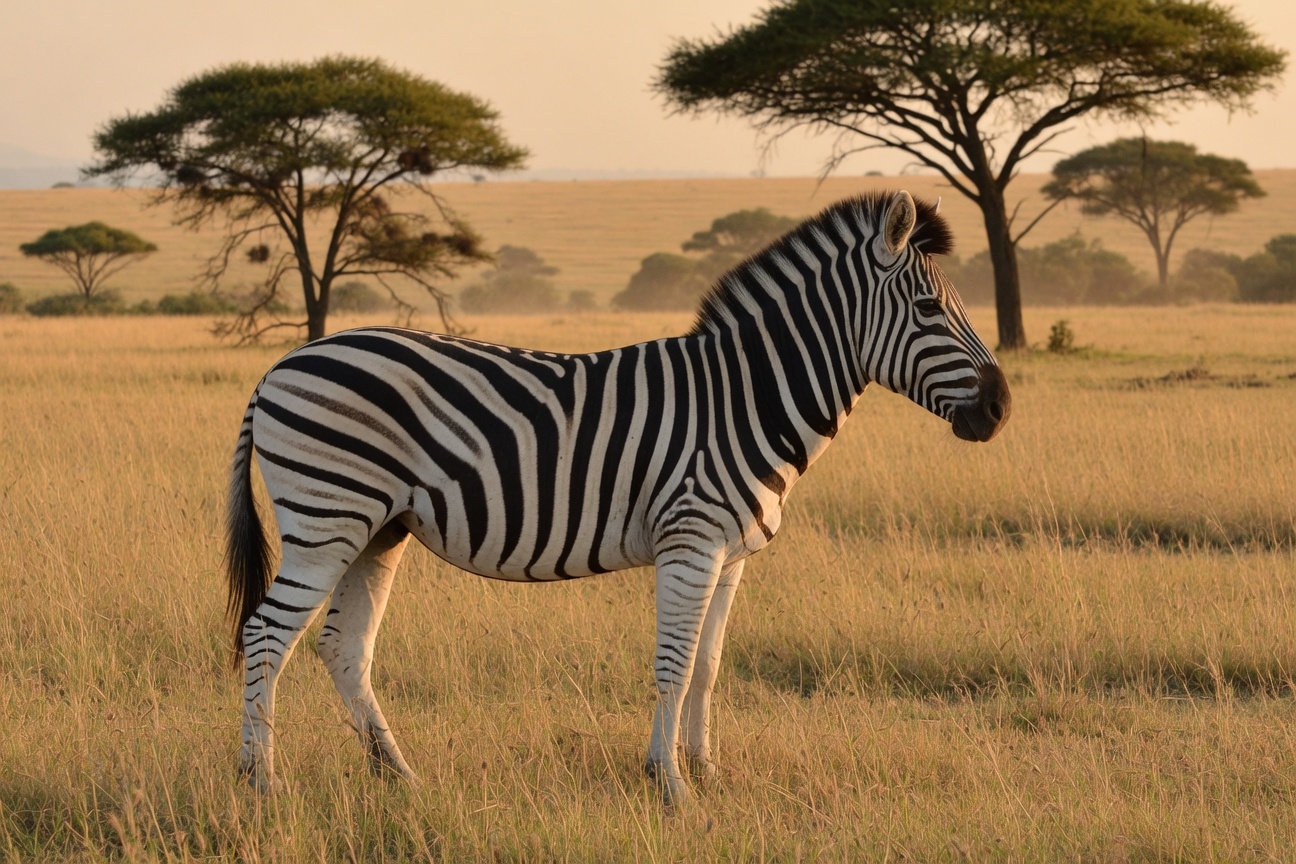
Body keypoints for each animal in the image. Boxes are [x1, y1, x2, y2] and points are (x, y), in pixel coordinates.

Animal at [226, 190, 1010, 806]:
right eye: (929, 307)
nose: (1001, 409)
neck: (744, 400)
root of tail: (278, 367)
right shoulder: (691, 542)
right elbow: (673, 663)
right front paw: (670, 785)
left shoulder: (731, 557)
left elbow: (708, 667)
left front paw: (708, 773)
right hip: (327, 518)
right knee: (265, 634)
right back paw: (263, 783)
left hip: (377, 529)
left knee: (342, 646)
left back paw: (402, 777)